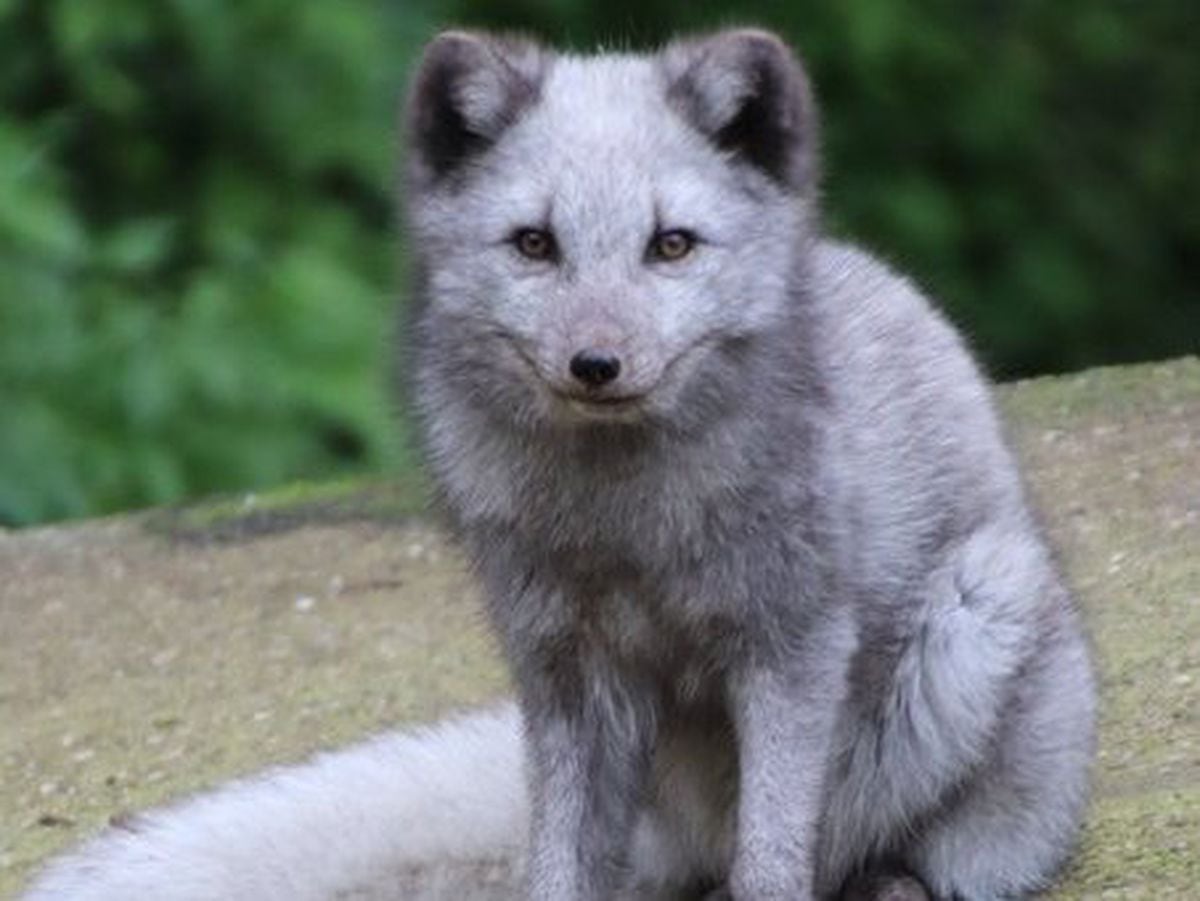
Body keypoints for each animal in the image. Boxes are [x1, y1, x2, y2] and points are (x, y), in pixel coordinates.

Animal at [25, 28, 1099, 901]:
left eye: (672, 244)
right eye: (534, 244)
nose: (596, 364)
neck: (621, 525)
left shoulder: (791, 644)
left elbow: (775, 851)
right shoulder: (561, 668)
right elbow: (559, 855)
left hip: (974, 615)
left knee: (883, 848)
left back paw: (896, 880)